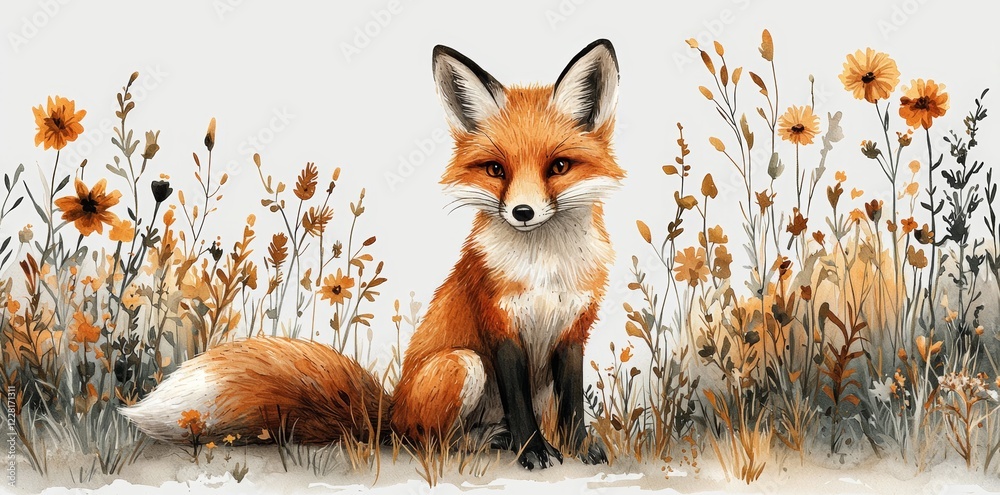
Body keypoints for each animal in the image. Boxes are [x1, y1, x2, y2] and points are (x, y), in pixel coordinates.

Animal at [122, 39, 624, 471]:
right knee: (430, 440)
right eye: (496, 169)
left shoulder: (574, 329)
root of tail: (390, 411)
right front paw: (533, 452)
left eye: (558, 166)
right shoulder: (498, 326)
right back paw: (487, 440)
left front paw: (580, 449)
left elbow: (573, 404)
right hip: (462, 363)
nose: (522, 212)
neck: (545, 272)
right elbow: (519, 405)